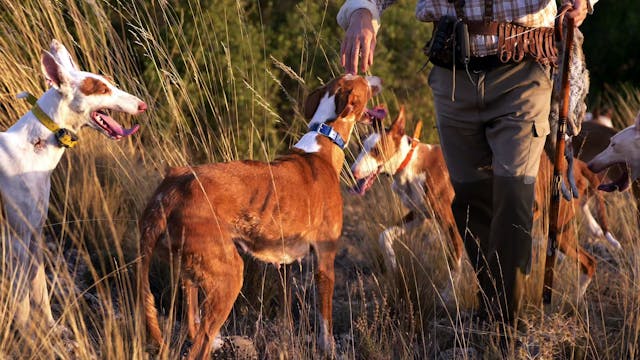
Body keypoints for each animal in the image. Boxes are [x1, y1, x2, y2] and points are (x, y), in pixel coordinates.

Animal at [0, 40, 146, 332]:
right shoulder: (16, 238)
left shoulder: (35, 234)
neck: (34, 144)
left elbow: (39, 289)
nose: (143, 105)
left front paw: (50, 328)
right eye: (102, 89)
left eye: (109, 83)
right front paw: (25, 334)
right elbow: (22, 301)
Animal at [139, 74, 380, 360]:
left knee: (192, 324)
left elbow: (287, 311)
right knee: (200, 345)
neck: (324, 138)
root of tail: (166, 193)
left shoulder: (285, 263)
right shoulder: (325, 259)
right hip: (229, 276)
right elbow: (326, 321)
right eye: (363, 81)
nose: (376, 79)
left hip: (190, 276)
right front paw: (329, 348)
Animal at [350, 108, 616, 296]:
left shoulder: (450, 222)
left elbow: (454, 264)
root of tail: (573, 166)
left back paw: (575, 301)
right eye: (362, 147)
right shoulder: (419, 215)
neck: (411, 163)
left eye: (376, 150)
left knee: (589, 262)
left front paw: (448, 297)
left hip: (557, 230)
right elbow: (384, 236)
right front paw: (393, 265)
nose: (353, 171)